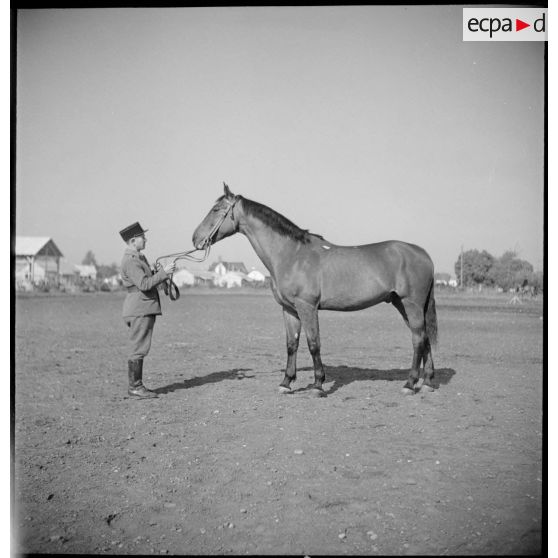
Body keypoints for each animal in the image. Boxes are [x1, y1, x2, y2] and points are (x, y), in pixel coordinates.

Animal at [195, 185, 440, 398]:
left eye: (216, 210)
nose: (195, 239)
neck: (292, 254)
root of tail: (423, 253)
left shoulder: (307, 307)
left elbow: (313, 344)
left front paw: (317, 385)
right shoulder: (289, 309)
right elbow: (292, 344)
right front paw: (286, 383)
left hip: (411, 304)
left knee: (418, 339)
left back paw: (409, 384)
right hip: (402, 304)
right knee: (425, 338)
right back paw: (427, 382)